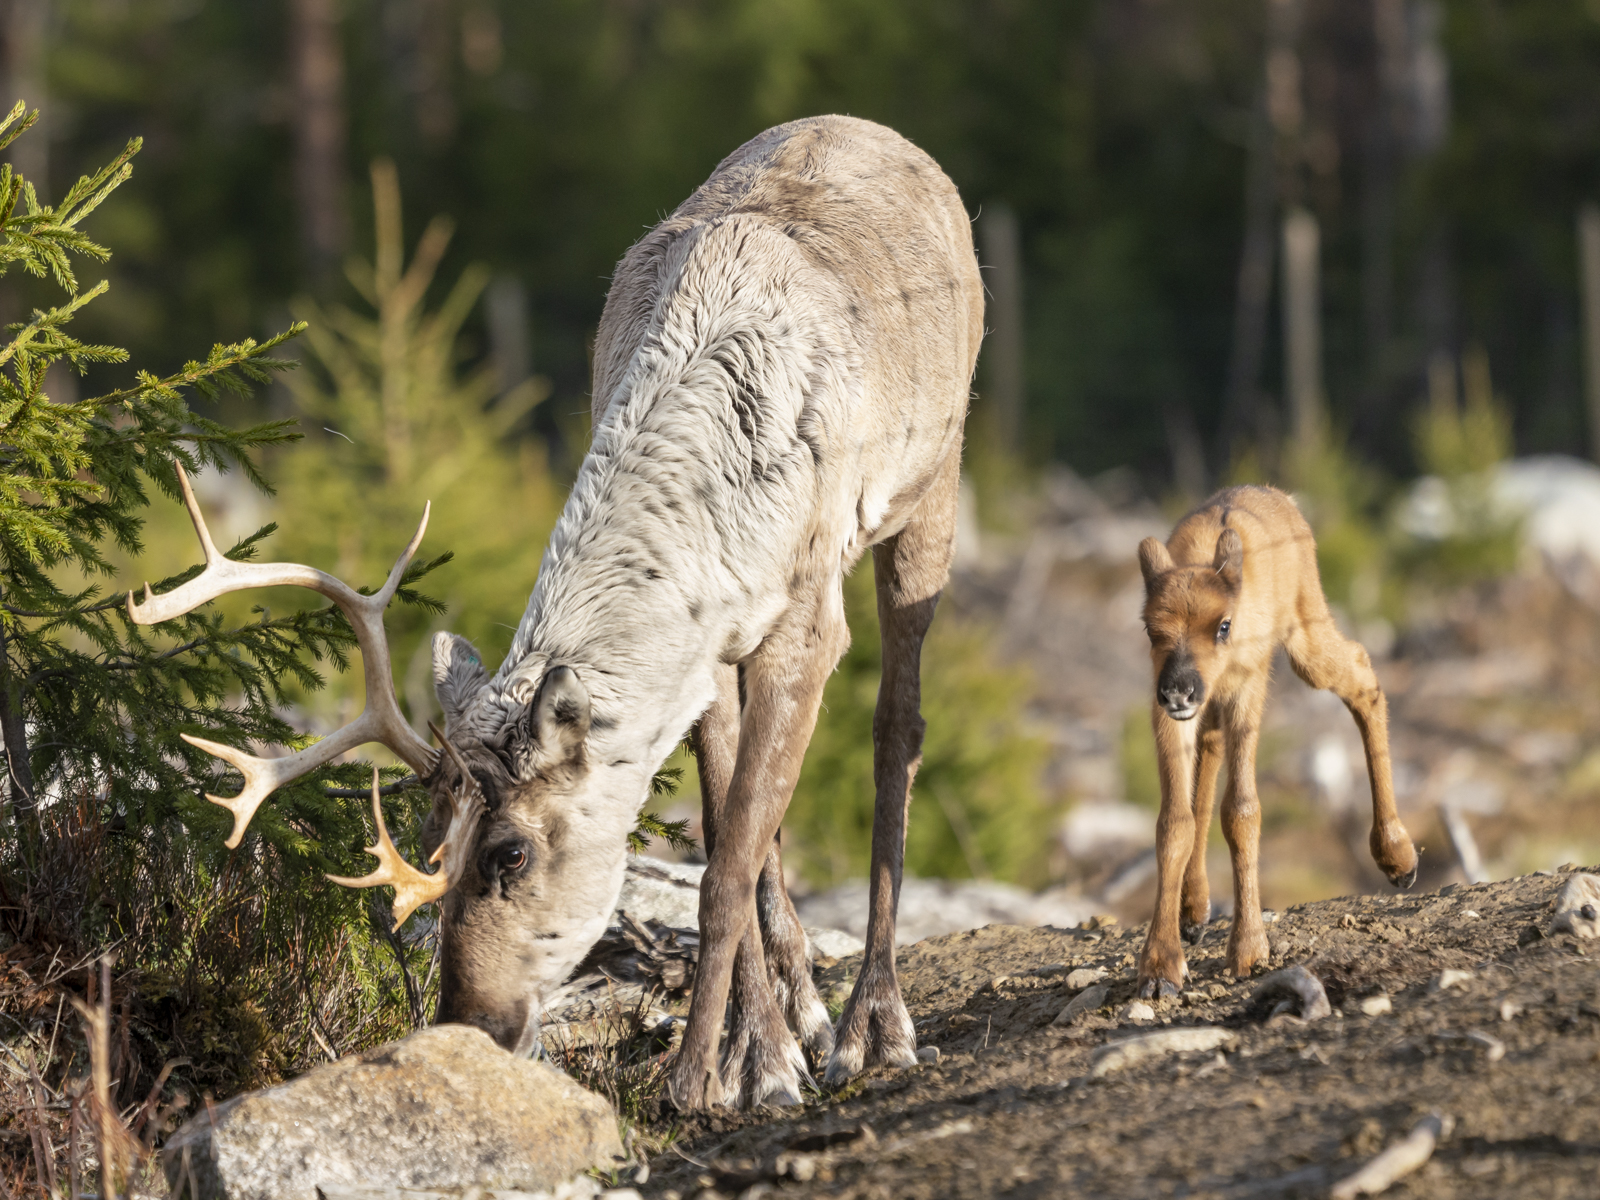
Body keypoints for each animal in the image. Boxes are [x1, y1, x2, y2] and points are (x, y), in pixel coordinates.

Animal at [128, 115, 985, 1110]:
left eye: (509, 854)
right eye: (430, 839)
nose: (469, 1020)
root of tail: (882, 133)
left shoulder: (803, 619)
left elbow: (728, 862)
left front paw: (710, 1076)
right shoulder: (705, 645)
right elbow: (733, 827)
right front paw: (760, 1050)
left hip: (935, 476)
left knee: (899, 727)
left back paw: (871, 1027)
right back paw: (809, 1009)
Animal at [1133, 484, 1418, 998]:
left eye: (1223, 625)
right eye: (1150, 628)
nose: (1179, 690)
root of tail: (1283, 498)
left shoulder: (1247, 686)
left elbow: (1241, 811)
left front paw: (1248, 948)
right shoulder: (1168, 711)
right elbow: (1174, 822)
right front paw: (1161, 965)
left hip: (1306, 636)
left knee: (1362, 670)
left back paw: (1397, 855)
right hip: (1211, 706)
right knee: (1209, 759)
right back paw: (1193, 908)